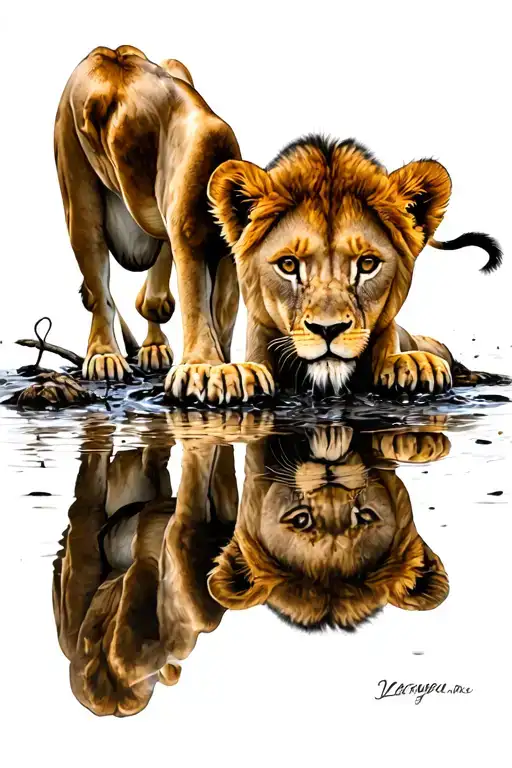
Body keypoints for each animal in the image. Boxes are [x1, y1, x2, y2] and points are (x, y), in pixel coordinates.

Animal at [55, 45, 273, 401]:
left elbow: (222, 310)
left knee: (153, 298)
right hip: (79, 190)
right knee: (100, 287)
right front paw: (206, 366)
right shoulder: (190, 235)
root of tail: (109, 51)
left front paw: (230, 365)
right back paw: (104, 355)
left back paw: (153, 347)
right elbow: (196, 300)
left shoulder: (225, 253)